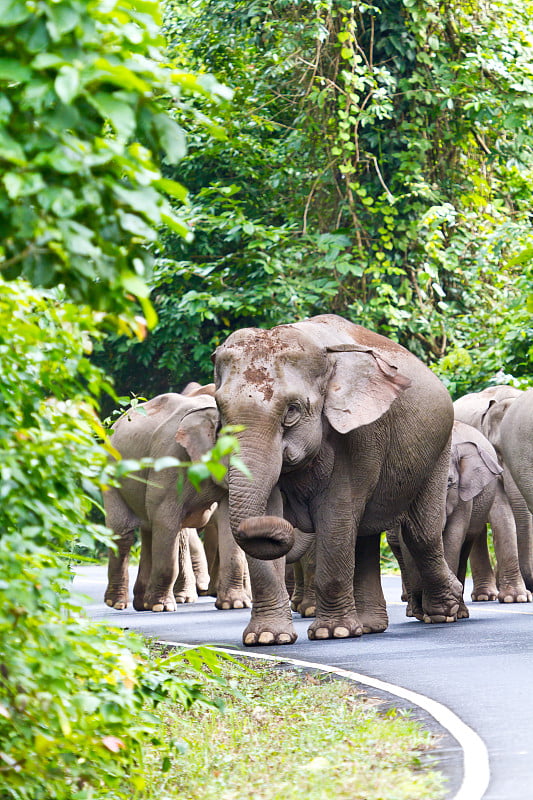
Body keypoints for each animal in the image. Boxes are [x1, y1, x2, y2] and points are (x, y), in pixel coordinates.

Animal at [214, 312, 464, 644]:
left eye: (292, 410)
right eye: (220, 409)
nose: (291, 527)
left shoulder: (362, 434)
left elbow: (336, 514)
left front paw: (333, 633)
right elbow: (267, 514)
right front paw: (267, 638)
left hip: (438, 448)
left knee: (419, 533)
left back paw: (445, 612)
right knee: (366, 536)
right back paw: (372, 626)